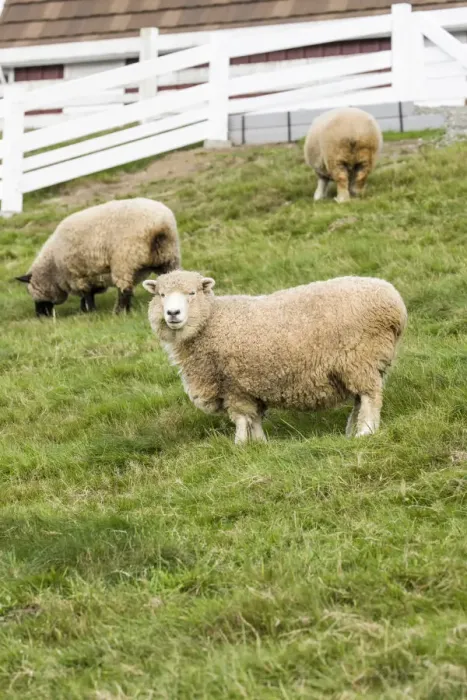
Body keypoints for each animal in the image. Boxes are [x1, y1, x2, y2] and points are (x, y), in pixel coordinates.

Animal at [16, 198, 180, 317]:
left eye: (32, 292)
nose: (40, 316)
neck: (53, 268)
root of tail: (160, 226)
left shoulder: (77, 275)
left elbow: (87, 294)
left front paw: (89, 311)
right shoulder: (90, 274)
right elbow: (90, 293)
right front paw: (85, 309)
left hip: (124, 261)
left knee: (124, 289)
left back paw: (119, 312)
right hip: (169, 256)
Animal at [143, 270, 407, 444]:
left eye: (192, 292)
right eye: (161, 294)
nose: (173, 313)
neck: (211, 321)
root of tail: (395, 301)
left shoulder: (233, 385)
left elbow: (241, 418)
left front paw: (240, 446)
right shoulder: (248, 386)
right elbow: (255, 419)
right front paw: (261, 445)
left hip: (359, 357)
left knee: (370, 397)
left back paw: (366, 432)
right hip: (363, 363)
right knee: (360, 399)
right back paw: (352, 430)